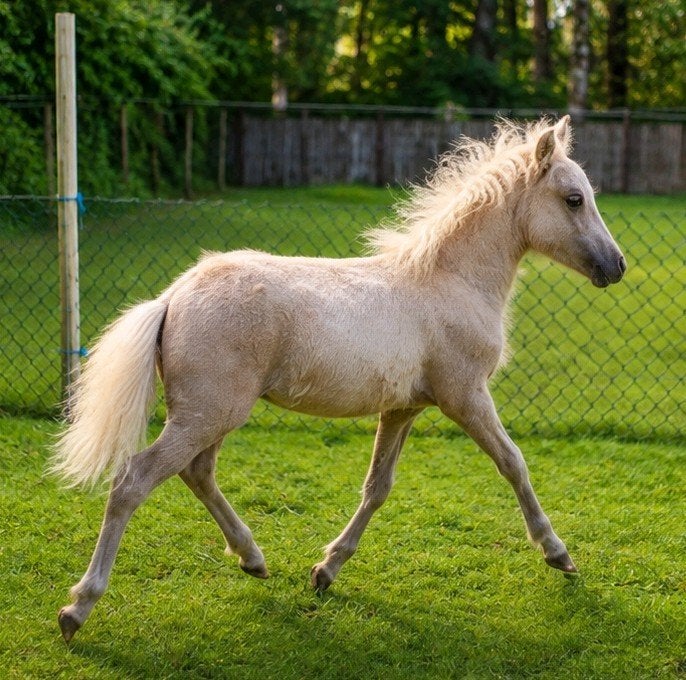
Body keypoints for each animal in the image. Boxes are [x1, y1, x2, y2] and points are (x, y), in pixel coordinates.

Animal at [52, 116, 626, 642]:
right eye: (574, 199)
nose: (616, 266)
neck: (450, 280)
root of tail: (173, 296)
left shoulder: (403, 407)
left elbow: (378, 487)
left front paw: (325, 571)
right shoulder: (465, 395)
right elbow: (514, 464)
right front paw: (558, 554)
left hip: (210, 414)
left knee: (197, 473)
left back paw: (252, 558)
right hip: (208, 412)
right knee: (135, 480)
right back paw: (78, 607)